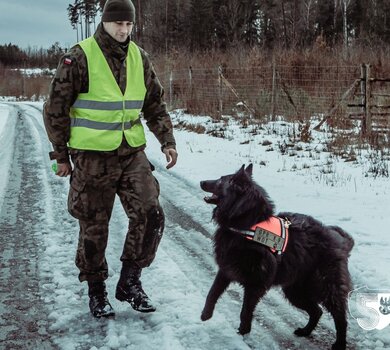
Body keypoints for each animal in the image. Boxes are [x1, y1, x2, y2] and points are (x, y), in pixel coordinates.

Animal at [200, 165, 354, 350]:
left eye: (221, 180)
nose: (201, 182)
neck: (247, 224)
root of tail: (341, 242)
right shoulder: (226, 270)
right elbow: (212, 293)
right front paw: (206, 314)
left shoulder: (255, 284)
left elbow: (245, 312)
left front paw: (243, 333)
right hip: (295, 291)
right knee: (317, 311)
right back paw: (305, 331)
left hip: (325, 287)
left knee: (340, 318)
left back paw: (339, 343)